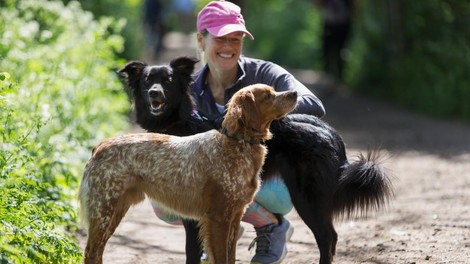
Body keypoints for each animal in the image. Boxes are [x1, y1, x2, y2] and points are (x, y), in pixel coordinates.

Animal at [78, 84, 296, 264]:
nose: (294, 93)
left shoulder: (235, 216)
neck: (237, 143)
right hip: (104, 210)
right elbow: (222, 257)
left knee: (96, 251)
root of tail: (99, 147)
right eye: (267, 96)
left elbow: (230, 256)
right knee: (90, 252)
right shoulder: (219, 217)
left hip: (115, 211)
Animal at [118, 56, 392, 262]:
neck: (178, 123)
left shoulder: (195, 217)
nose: (154, 93)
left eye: (168, 80)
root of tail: (330, 131)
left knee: (327, 237)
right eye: (147, 80)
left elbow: (191, 254)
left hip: (307, 198)